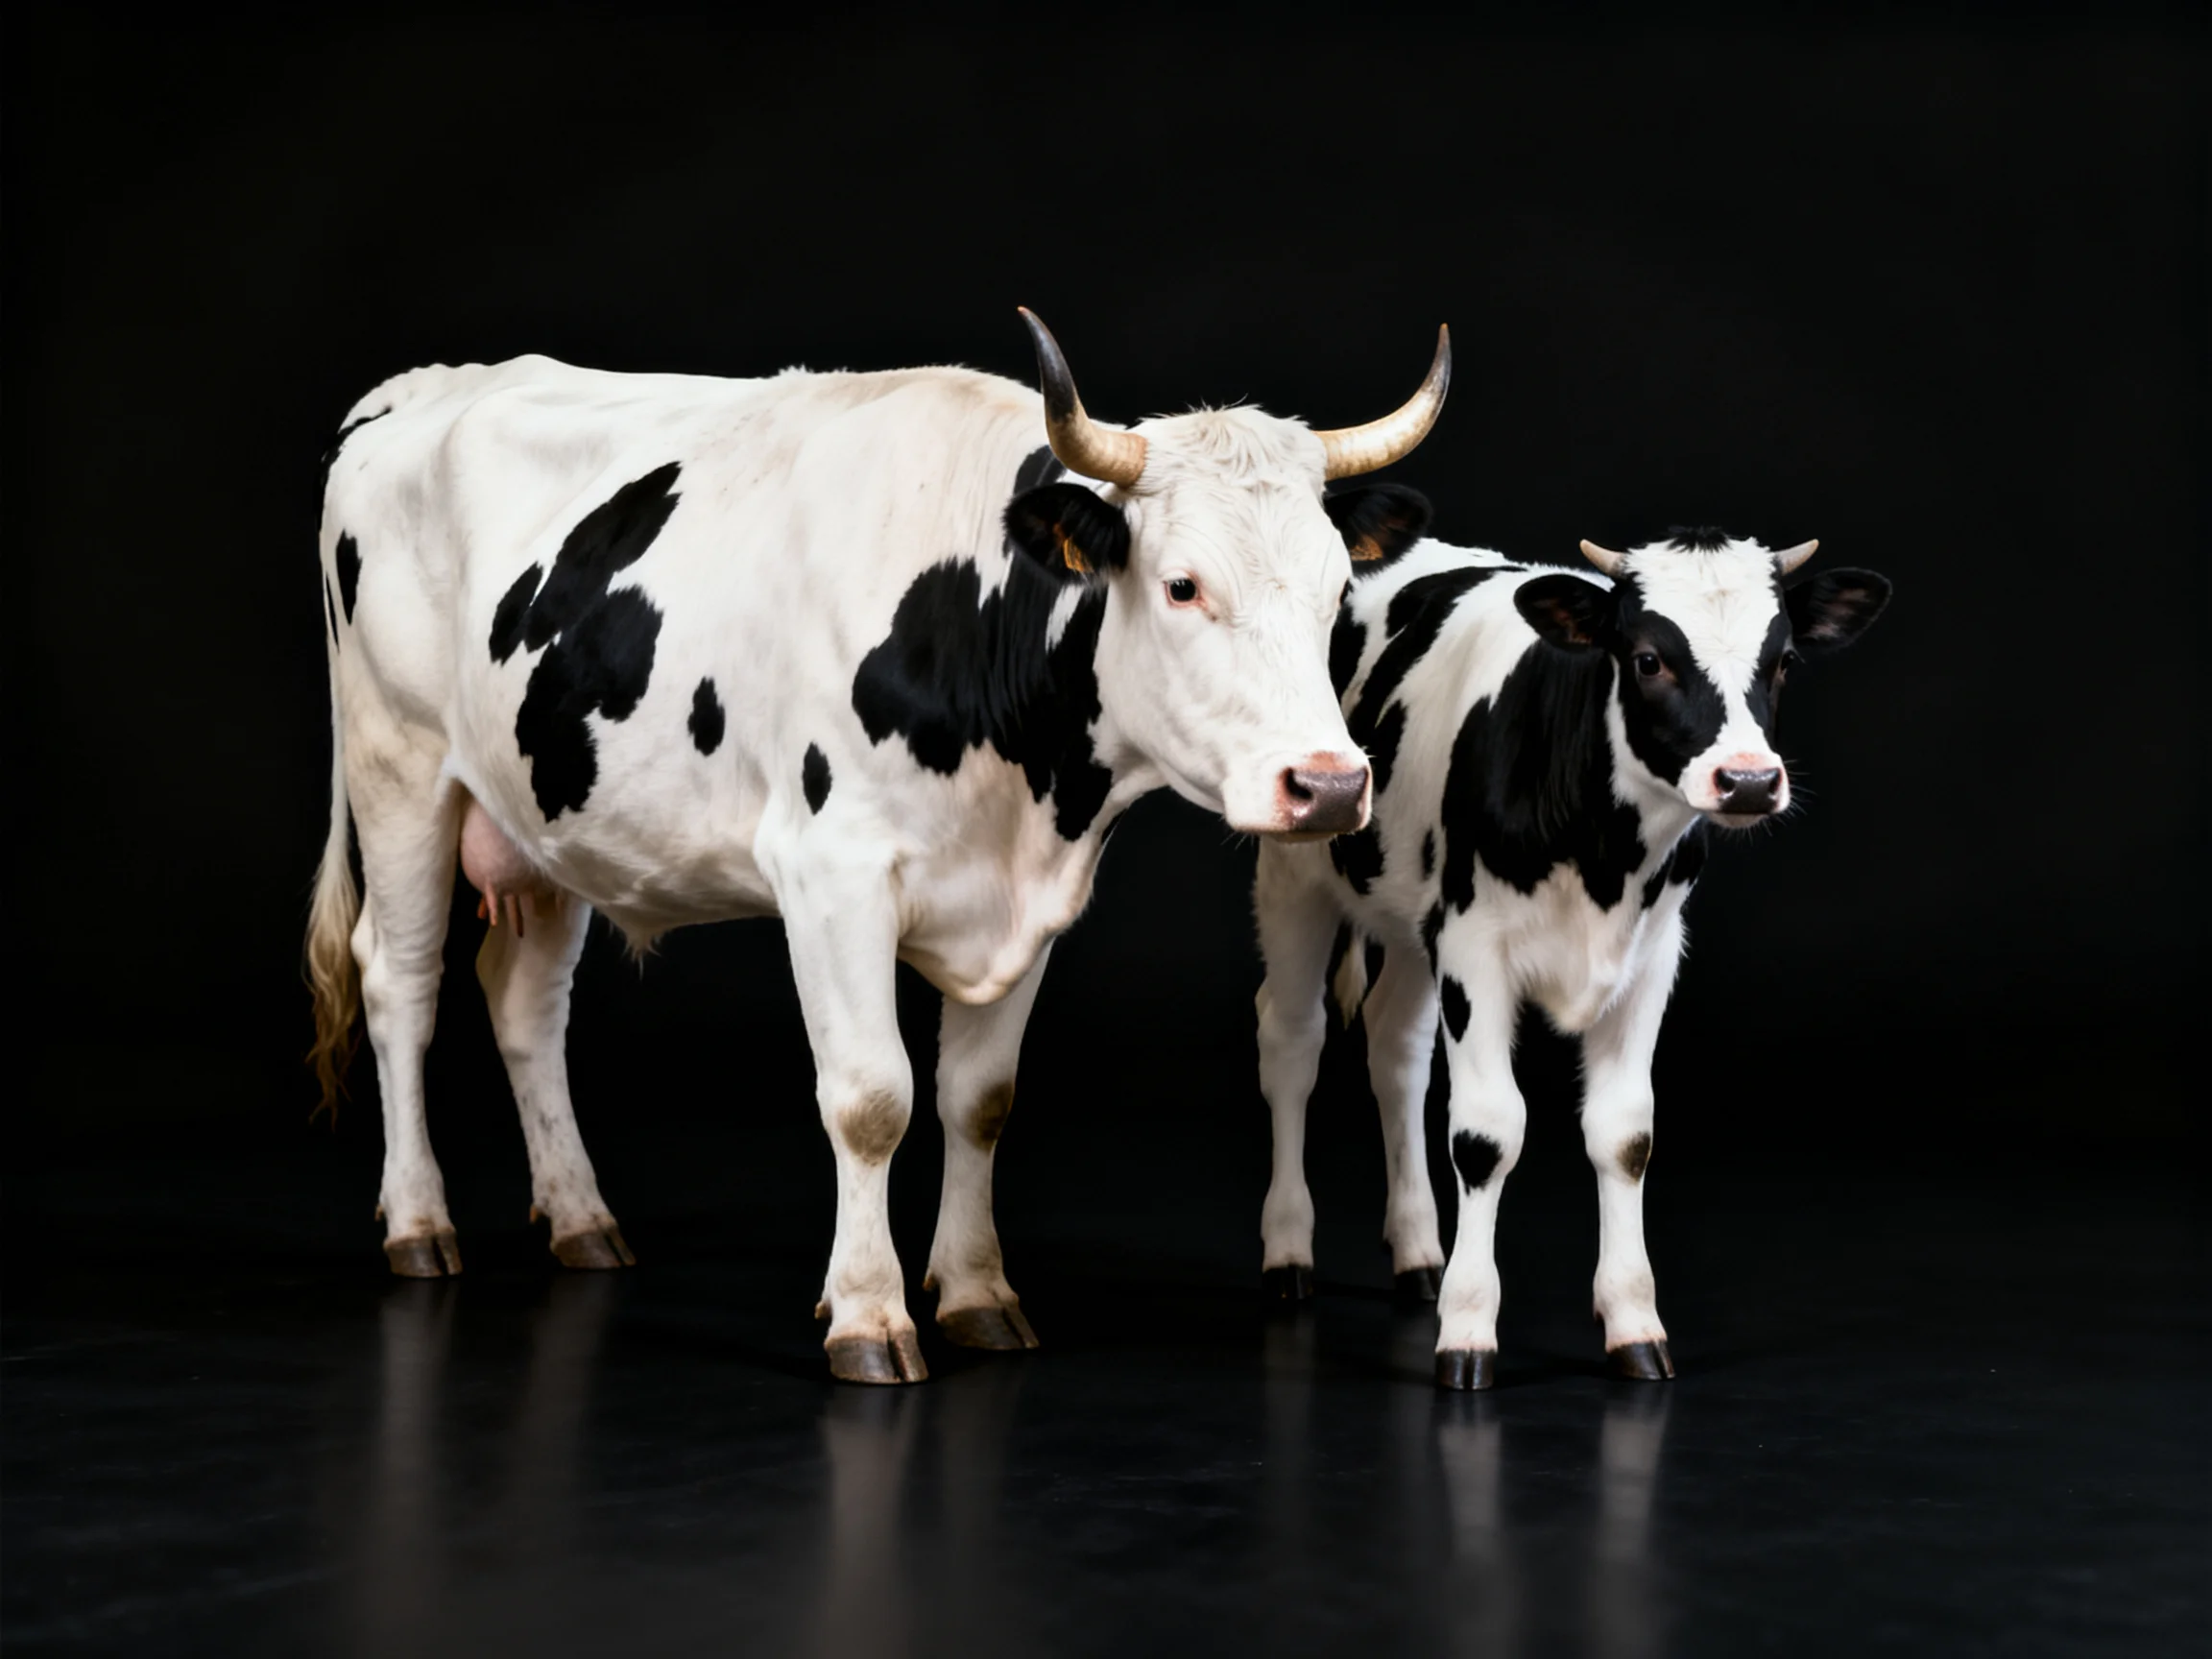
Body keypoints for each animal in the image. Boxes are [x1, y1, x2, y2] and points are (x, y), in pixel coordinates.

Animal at [305, 311, 1451, 1384]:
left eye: (1337, 592)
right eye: (1181, 585)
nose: (1329, 783)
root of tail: (424, 387)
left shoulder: (1026, 904)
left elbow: (979, 1101)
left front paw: (978, 1292)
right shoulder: (830, 876)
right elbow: (870, 1101)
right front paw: (867, 1314)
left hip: (545, 818)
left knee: (526, 1004)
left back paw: (582, 1218)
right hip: (398, 766)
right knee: (400, 983)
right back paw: (420, 1224)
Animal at [1251, 527, 1891, 1388]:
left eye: (1784, 659)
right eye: (1648, 659)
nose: (1751, 781)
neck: (1605, 855)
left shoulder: (1652, 954)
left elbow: (1624, 1135)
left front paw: (1633, 1324)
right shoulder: (1475, 946)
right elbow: (1486, 1135)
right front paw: (1467, 1332)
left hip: (1416, 913)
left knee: (1396, 1049)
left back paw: (1419, 1252)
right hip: (1296, 875)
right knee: (1292, 1042)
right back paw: (1288, 1251)